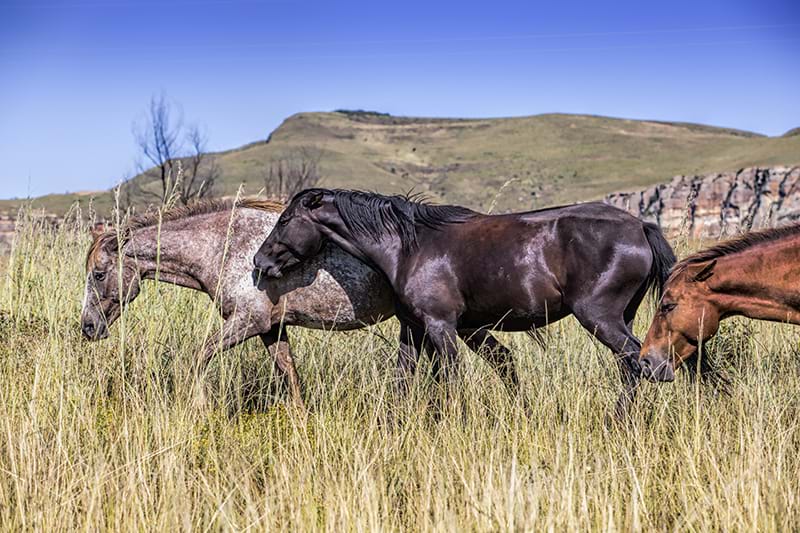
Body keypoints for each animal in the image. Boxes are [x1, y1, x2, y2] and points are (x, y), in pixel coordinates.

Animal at [80, 197, 514, 410]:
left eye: (98, 274)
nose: (87, 327)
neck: (226, 245)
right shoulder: (272, 329)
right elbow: (289, 376)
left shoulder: (247, 323)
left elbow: (198, 358)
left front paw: (197, 406)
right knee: (503, 360)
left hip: (462, 325)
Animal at [253, 189, 676, 417]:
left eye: (285, 220)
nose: (260, 262)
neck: (409, 247)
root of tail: (640, 226)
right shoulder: (414, 329)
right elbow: (403, 380)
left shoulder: (441, 326)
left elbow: (452, 378)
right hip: (620, 318)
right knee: (635, 367)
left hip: (599, 317)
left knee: (641, 364)